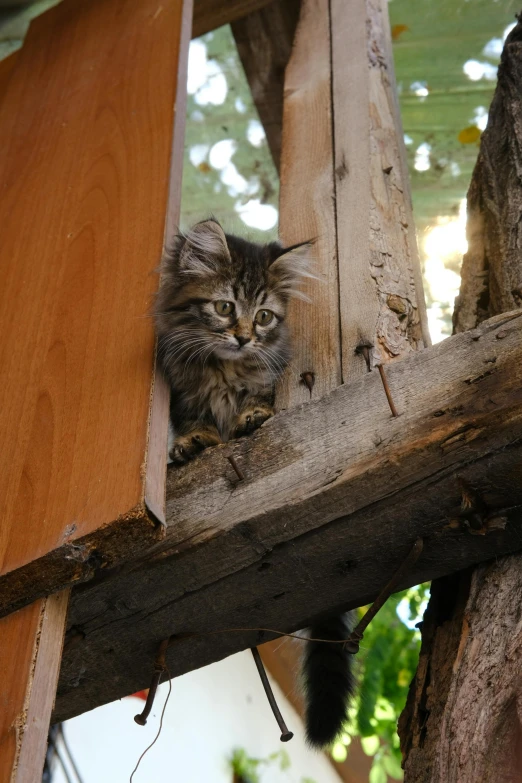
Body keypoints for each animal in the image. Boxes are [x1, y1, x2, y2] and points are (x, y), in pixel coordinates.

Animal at [152, 219, 310, 466]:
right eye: (224, 307)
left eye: (263, 316)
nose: (244, 339)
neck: (224, 370)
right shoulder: (184, 396)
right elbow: (194, 419)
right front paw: (197, 438)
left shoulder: (268, 379)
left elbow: (259, 397)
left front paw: (253, 414)